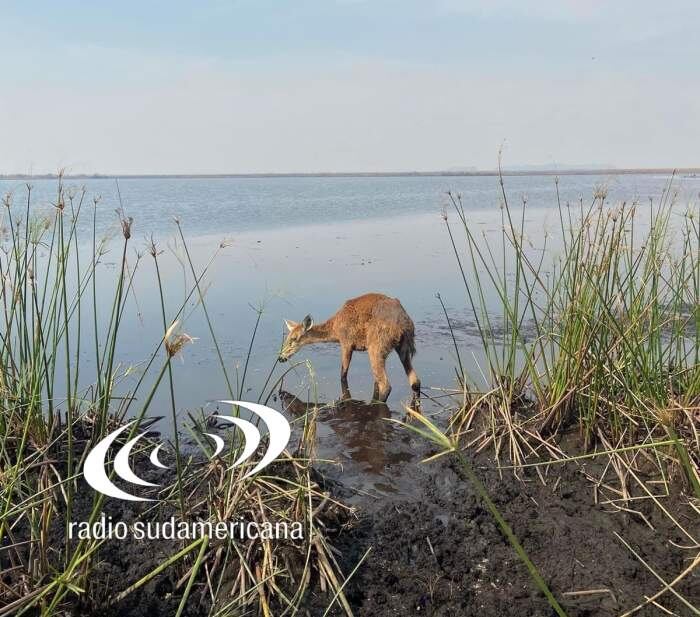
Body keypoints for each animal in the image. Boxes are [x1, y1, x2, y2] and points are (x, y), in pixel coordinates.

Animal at [278, 292, 422, 402]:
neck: (335, 330)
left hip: (376, 346)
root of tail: (403, 325)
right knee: (415, 381)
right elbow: (374, 381)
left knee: (386, 385)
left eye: (294, 339)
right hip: (403, 348)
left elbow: (343, 373)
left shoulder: (346, 343)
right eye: (286, 339)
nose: (281, 358)